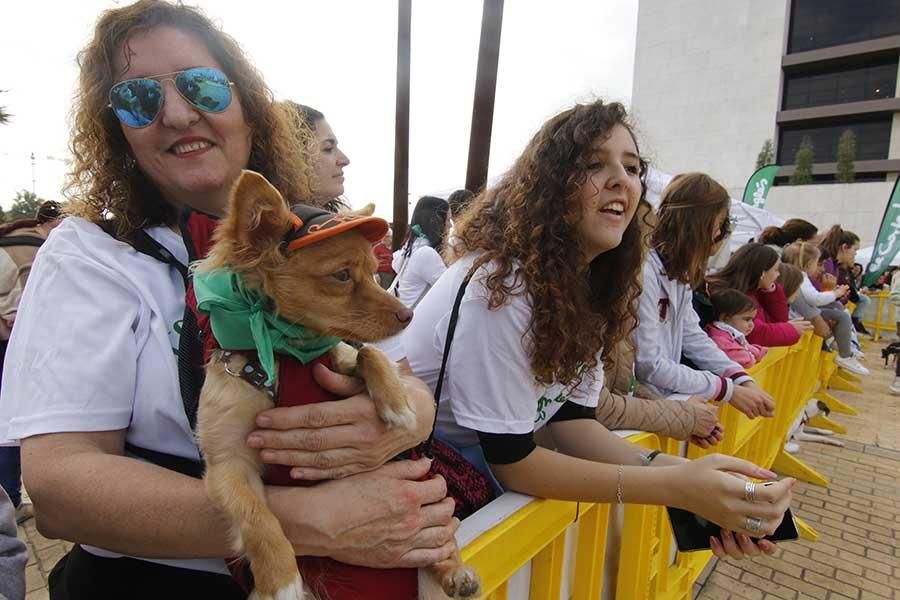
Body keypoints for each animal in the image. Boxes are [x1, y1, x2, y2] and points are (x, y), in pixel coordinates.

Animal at [194, 170, 482, 600]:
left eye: (373, 272)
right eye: (342, 276)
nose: (408, 315)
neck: (287, 354)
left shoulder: (336, 359)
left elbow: (366, 354)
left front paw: (398, 403)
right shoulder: (228, 465)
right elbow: (256, 517)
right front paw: (280, 581)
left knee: (440, 545)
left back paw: (456, 573)